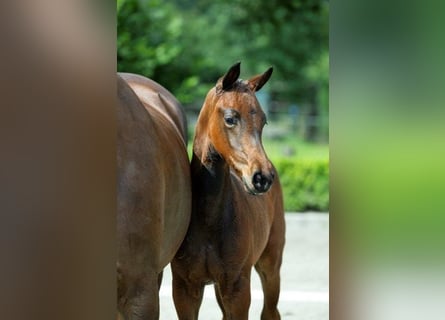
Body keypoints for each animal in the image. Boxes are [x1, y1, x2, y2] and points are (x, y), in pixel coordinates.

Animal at [170, 63, 284, 320]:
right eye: (231, 118)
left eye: (264, 121)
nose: (262, 177)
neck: (208, 219)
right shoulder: (185, 288)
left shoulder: (238, 288)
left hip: (270, 264)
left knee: (270, 311)